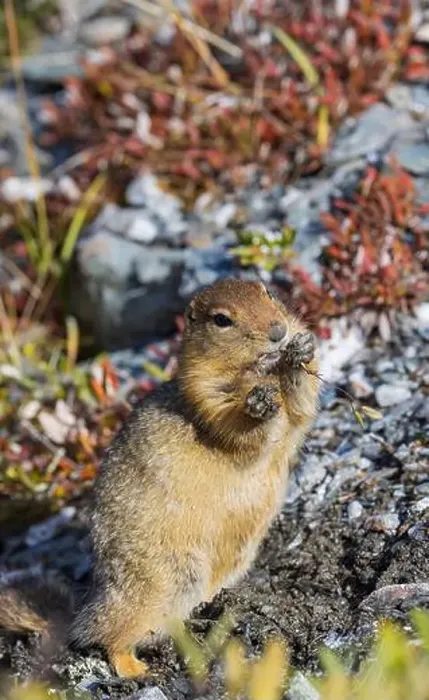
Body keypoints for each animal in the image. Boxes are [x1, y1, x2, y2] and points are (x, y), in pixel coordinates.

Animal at [0, 278, 319, 678]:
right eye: (222, 319)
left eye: (268, 293)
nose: (278, 331)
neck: (258, 370)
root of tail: (86, 608)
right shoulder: (205, 394)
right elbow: (240, 428)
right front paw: (259, 405)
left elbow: (303, 407)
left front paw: (301, 350)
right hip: (161, 580)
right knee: (109, 637)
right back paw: (135, 668)